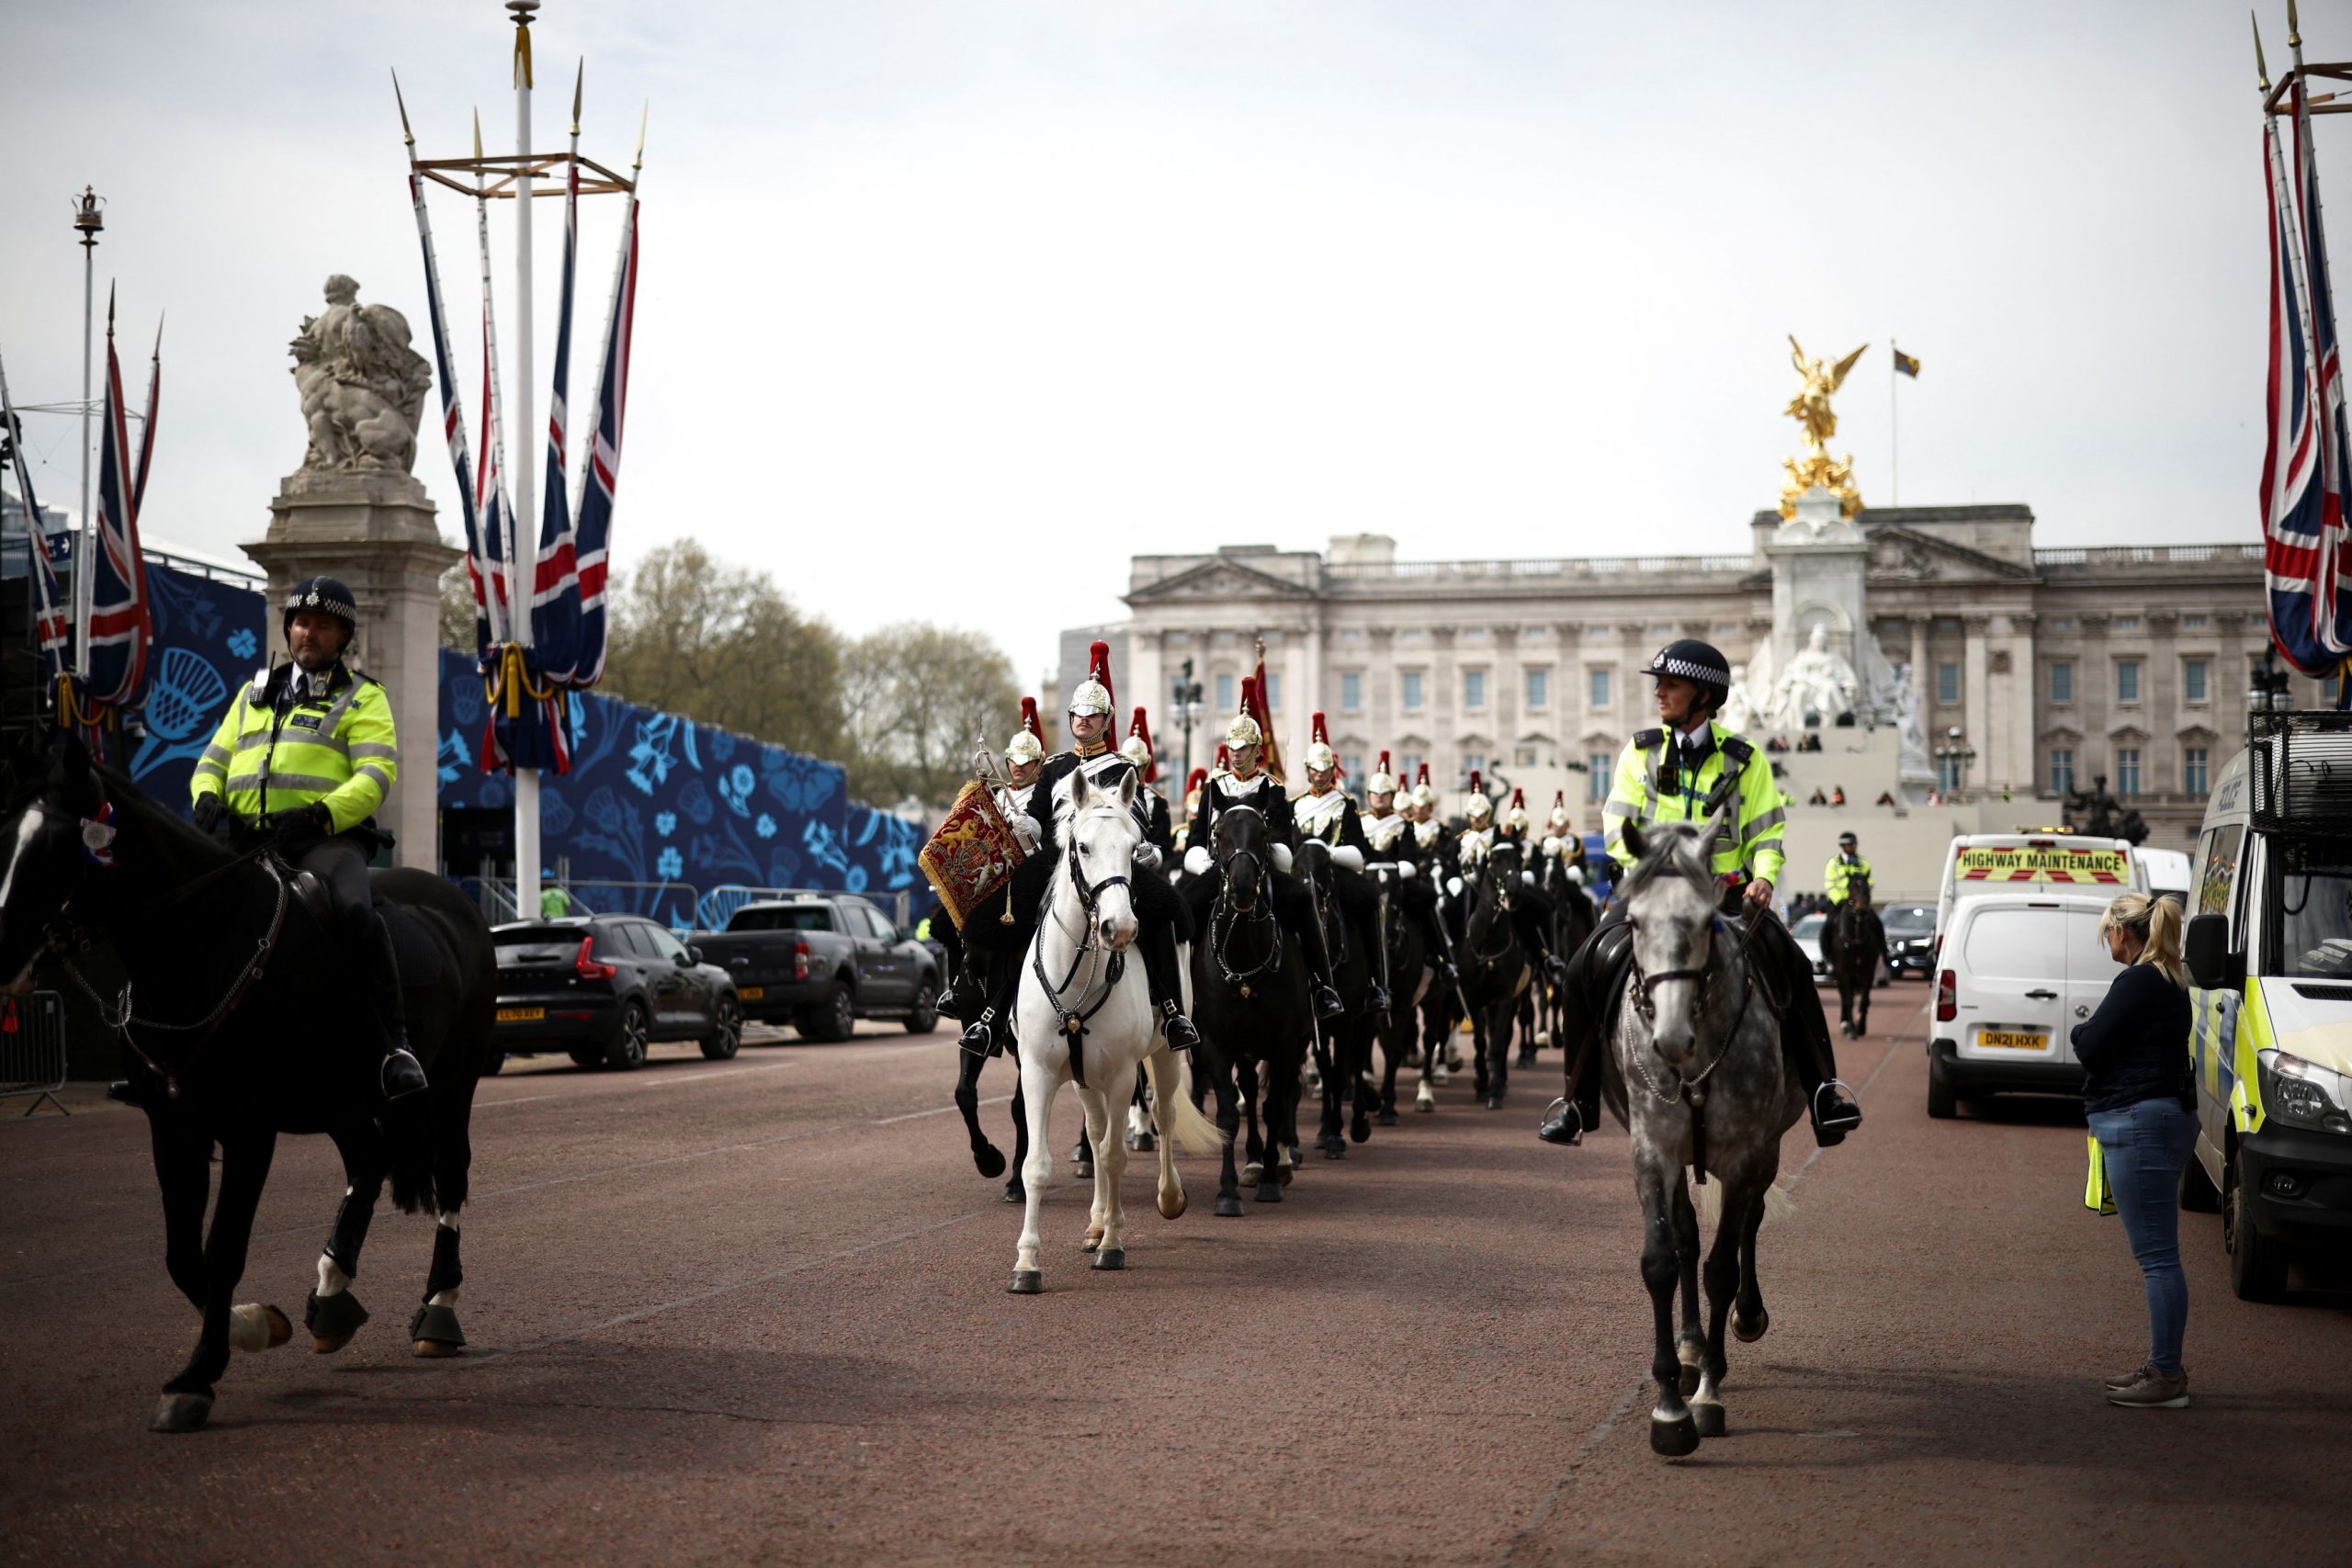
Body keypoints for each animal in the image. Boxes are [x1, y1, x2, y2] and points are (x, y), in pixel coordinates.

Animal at [0, 747, 496, 1438]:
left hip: (452, 1082)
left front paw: (197, 1377)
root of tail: (456, 899)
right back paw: (332, 1293)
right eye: (6, 835)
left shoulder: (248, 1129)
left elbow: (224, 1249)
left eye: (57, 845)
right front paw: (252, 1325)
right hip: (342, 1100)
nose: (1, 954)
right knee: (368, 1165)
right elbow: (185, 1255)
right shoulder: (174, 1125)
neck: (207, 946)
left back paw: (438, 1310)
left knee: (449, 1179)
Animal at [1011, 766, 1232, 1297]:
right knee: (1094, 1134)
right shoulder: (1039, 1073)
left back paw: (1163, 1199)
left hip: (1165, 1056)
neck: (1076, 978)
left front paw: (1113, 1245)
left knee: (1163, 1116)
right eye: (1083, 846)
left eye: (1134, 846)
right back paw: (1094, 1223)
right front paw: (1027, 1263)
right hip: (1084, 1078)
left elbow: (1114, 1157)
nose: (1121, 928)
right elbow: (1038, 1165)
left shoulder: (1119, 1076)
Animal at [1599, 818, 1796, 1466]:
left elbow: (1721, 1269)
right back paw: (1687, 1350)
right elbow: (1663, 1260)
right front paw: (1670, 1406)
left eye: (1707, 920)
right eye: (1635, 921)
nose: (1669, 1037)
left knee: (1748, 1225)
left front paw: (1708, 1394)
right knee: (1687, 1235)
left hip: (1767, 1150)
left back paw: (1745, 1319)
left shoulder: (1744, 1155)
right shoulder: (1653, 1153)